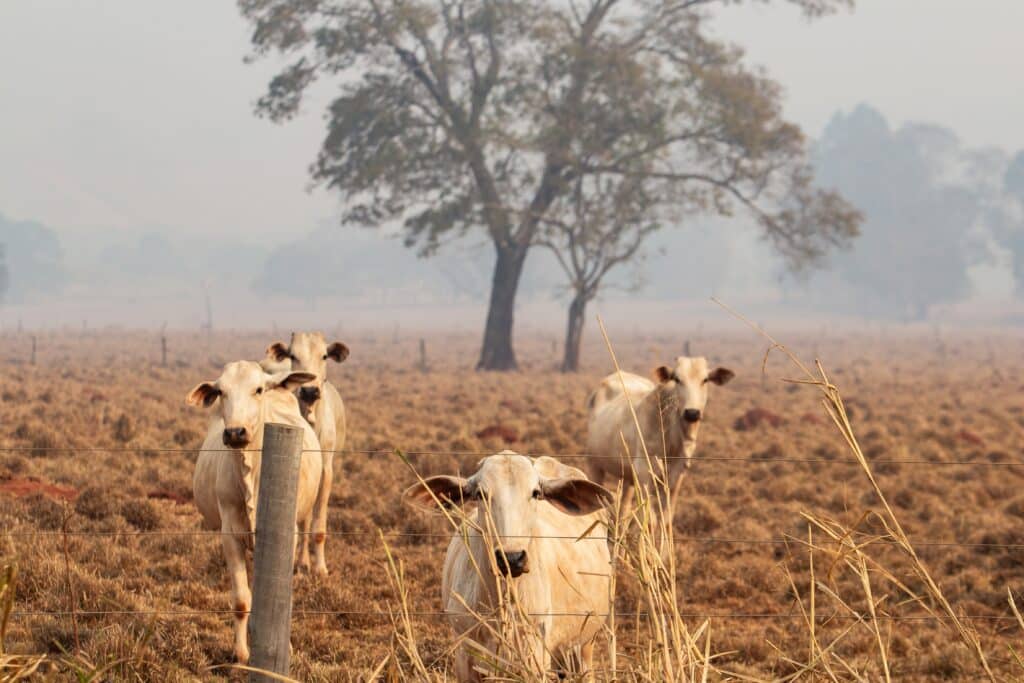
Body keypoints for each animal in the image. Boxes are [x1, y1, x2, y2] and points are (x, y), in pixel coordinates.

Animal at [187, 361, 323, 664]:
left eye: (258, 389)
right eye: (221, 391)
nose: (235, 432)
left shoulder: (286, 535)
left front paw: (285, 647)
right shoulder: (230, 535)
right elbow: (241, 599)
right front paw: (240, 654)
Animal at [264, 332, 348, 577]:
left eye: (324, 356)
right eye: (293, 355)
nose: (310, 390)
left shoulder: (326, 470)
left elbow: (318, 523)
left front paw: (320, 568)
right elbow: (302, 521)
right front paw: (301, 564)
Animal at [403, 452, 612, 681]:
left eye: (535, 493)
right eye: (481, 494)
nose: (511, 558)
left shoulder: (535, 657)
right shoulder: (465, 654)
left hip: (584, 645)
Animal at [584, 356, 734, 537]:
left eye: (705, 380)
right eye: (677, 379)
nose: (692, 413)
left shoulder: (676, 477)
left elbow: (665, 521)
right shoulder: (644, 473)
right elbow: (650, 522)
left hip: (628, 478)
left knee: (623, 513)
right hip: (594, 465)